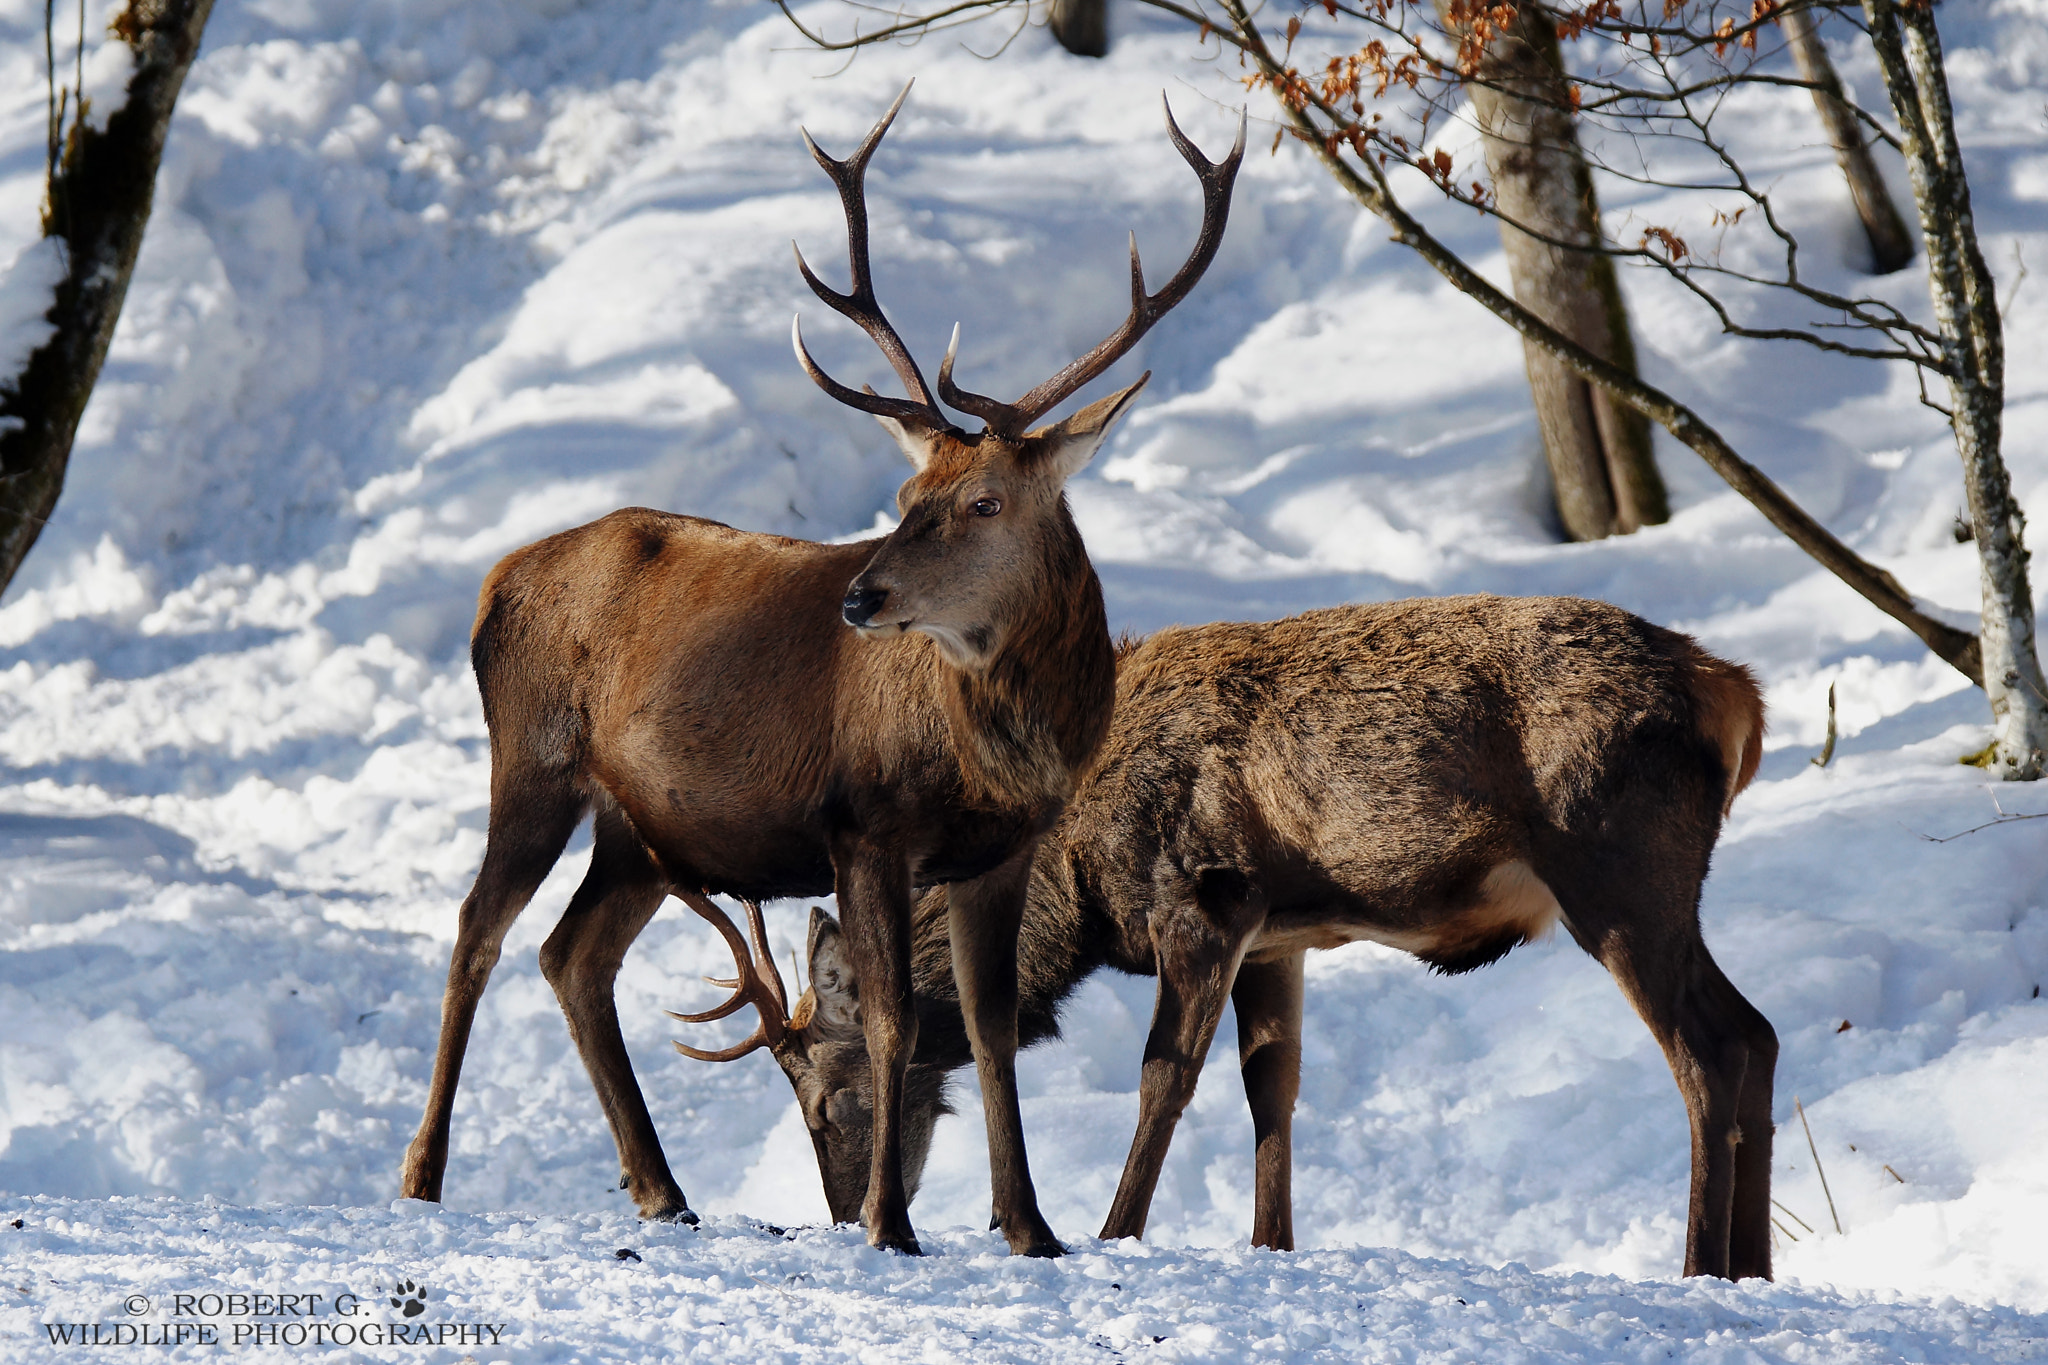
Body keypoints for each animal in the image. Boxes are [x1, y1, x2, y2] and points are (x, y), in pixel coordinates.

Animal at [391, 85, 1236, 1260]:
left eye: (983, 502)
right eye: (906, 494)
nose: (862, 598)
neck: (992, 752)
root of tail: (495, 580)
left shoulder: (1001, 847)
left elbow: (987, 1028)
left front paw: (1030, 1226)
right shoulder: (862, 823)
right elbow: (890, 1015)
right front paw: (889, 1223)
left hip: (641, 826)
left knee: (572, 954)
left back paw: (663, 1188)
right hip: (534, 760)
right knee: (477, 933)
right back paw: (422, 1176)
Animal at [679, 597, 1785, 1285]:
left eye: (826, 1099)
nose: (842, 1211)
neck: (1073, 881)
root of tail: (1738, 692)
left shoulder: (1205, 895)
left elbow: (1163, 1076)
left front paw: (1113, 1231)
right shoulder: (1276, 936)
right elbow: (1271, 1086)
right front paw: (1270, 1244)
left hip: (1615, 871)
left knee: (1703, 1048)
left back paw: (1699, 1264)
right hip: (1662, 887)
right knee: (1756, 1031)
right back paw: (1754, 1270)